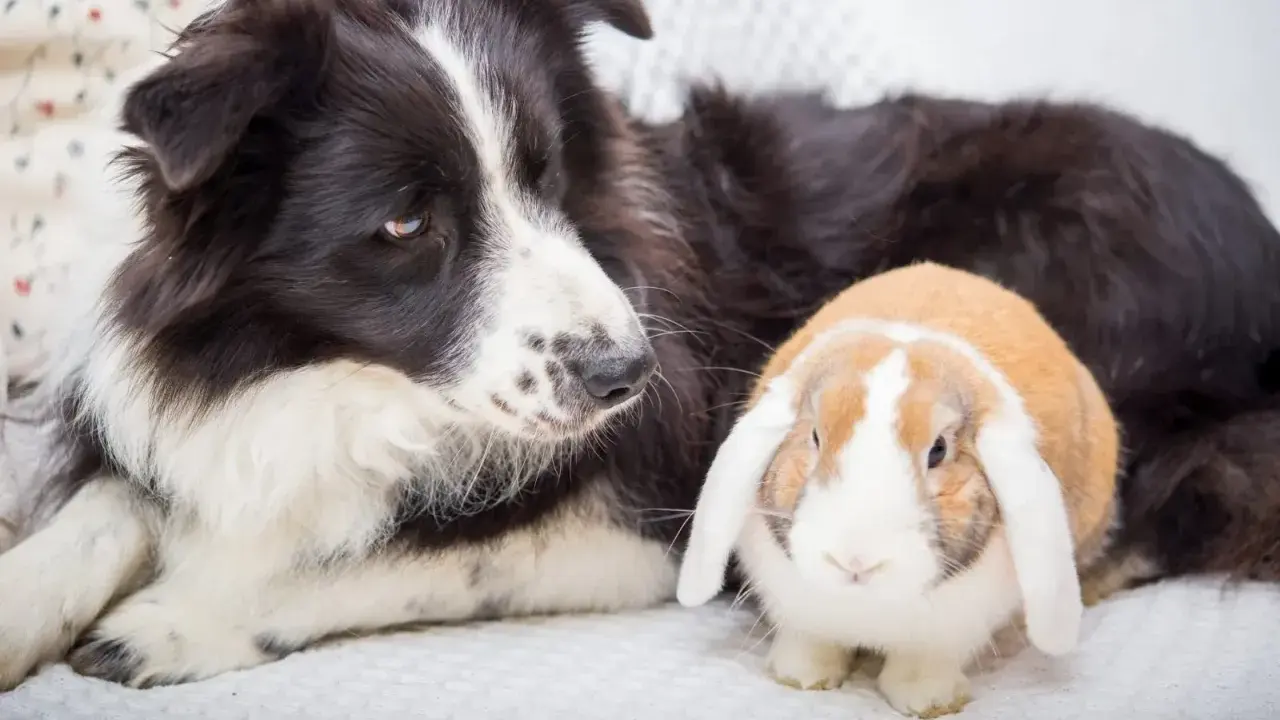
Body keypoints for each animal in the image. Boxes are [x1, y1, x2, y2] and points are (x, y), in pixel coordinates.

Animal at [676, 261, 1119, 717]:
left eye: (938, 450)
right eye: (815, 436)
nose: (855, 559)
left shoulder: (949, 634)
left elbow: (926, 664)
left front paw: (928, 701)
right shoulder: (800, 613)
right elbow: (811, 641)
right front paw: (801, 677)